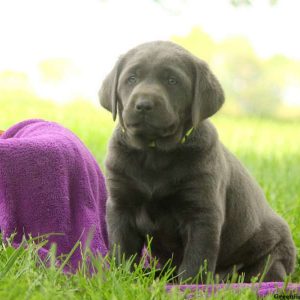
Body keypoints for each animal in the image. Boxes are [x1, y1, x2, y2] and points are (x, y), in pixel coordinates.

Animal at [98, 39, 296, 282]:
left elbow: (196, 257)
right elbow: (122, 249)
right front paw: (121, 278)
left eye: (172, 81)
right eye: (132, 78)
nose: (144, 104)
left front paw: (189, 284)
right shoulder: (120, 206)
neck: (154, 153)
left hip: (272, 257)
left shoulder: (202, 213)